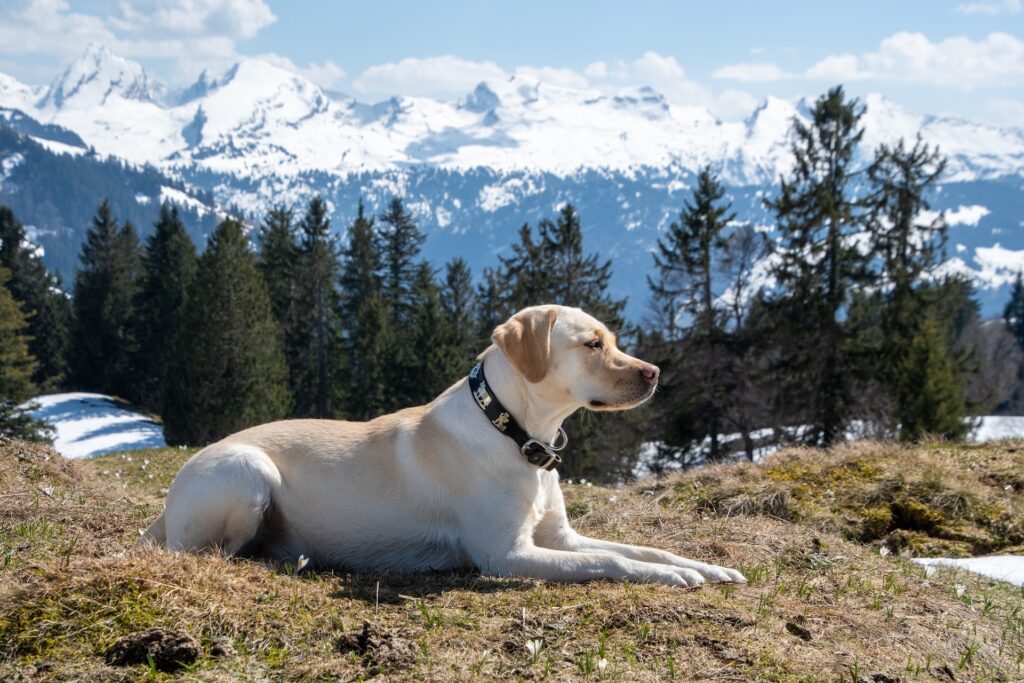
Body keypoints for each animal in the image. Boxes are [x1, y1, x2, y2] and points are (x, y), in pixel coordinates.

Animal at [142, 305, 745, 589]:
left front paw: (703, 567)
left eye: (614, 340)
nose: (654, 373)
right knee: (211, 553)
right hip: (247, 474)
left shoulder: (559, 538)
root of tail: (164, 507)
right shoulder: (507, 555)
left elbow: (642, 549)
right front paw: (671, 578)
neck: (515, 432)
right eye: (593, 344)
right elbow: (610, 561)